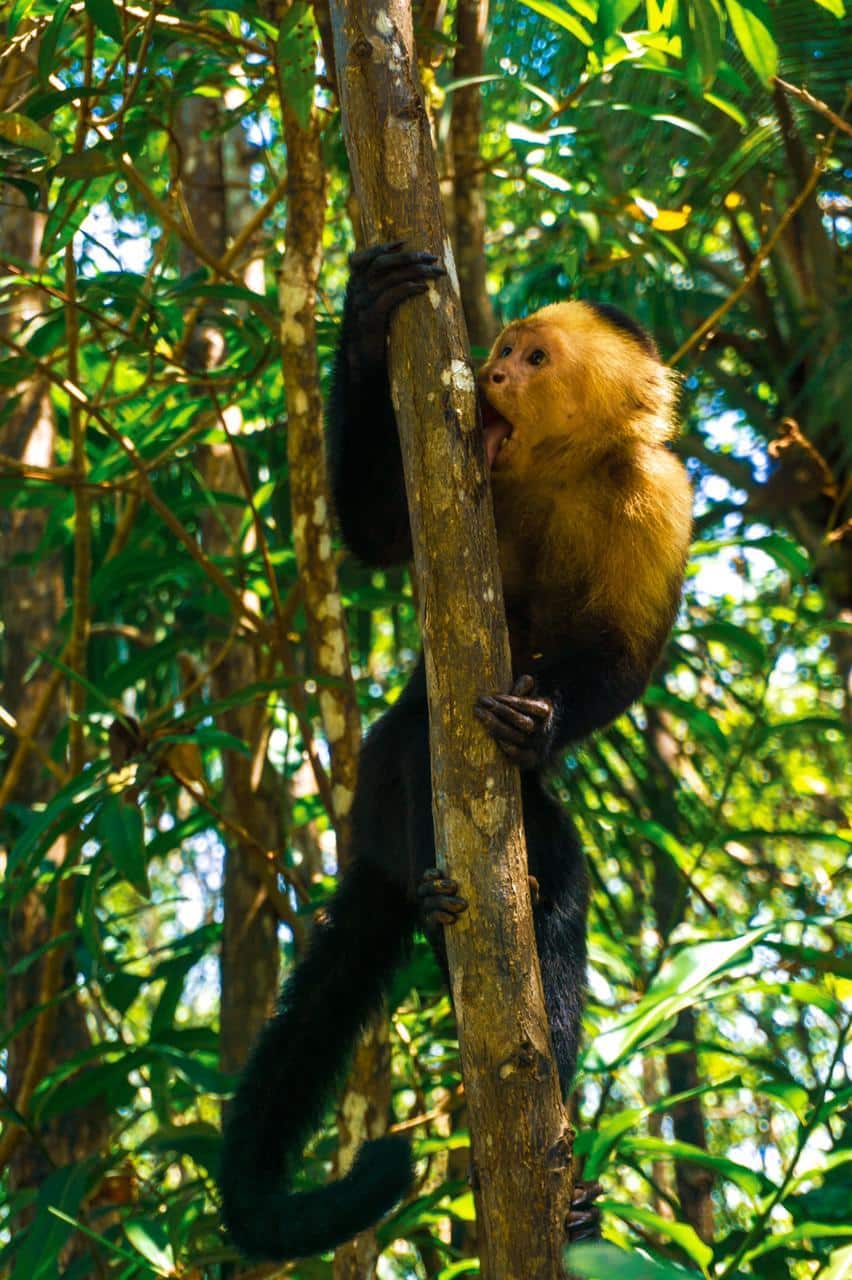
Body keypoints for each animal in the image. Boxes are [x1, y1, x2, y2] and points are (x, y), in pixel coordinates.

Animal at [219, 243, 693, 1262]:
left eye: (537, 358)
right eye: (507, 348)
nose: (496, 372)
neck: (558, 467)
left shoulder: (659, 496)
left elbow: (627, 657)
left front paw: (542, 718)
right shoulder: (473, 456)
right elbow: (376, 531)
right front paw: (366, 316)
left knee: (555, 885)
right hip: (387, 793)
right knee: (412, 753)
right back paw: (439, 902)